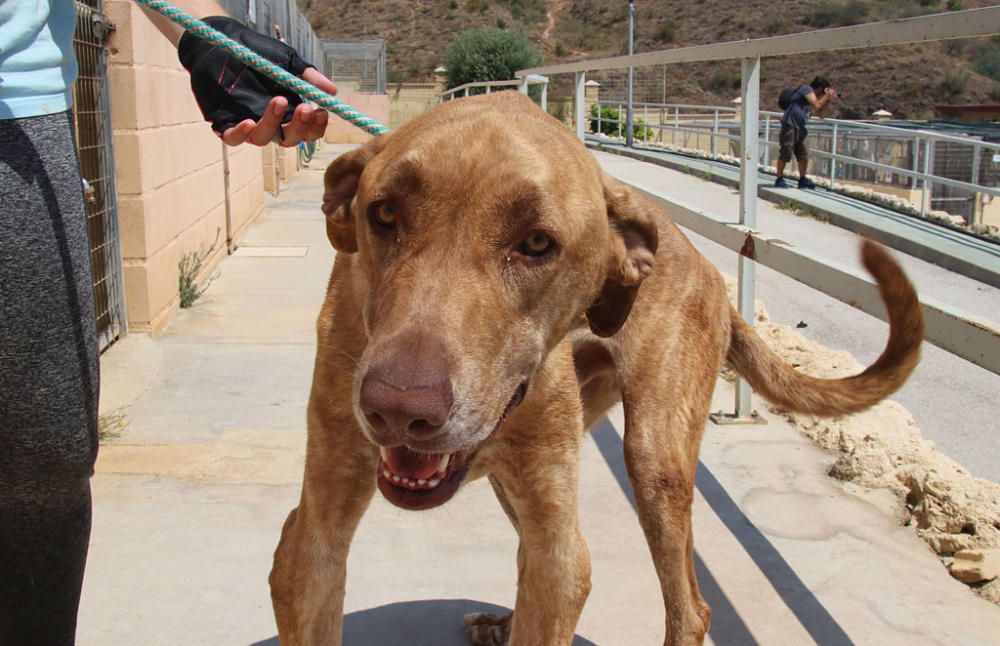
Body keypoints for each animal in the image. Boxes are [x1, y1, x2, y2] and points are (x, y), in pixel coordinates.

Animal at [268, 92, 920, 646]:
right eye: (382, 213)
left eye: (537, 243)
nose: (399, 412)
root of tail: (705, 267)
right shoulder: (312, 537)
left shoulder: (560, 548)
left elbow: (562, 573)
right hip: (519, 480)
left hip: (653, 462)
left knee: (691, 607)